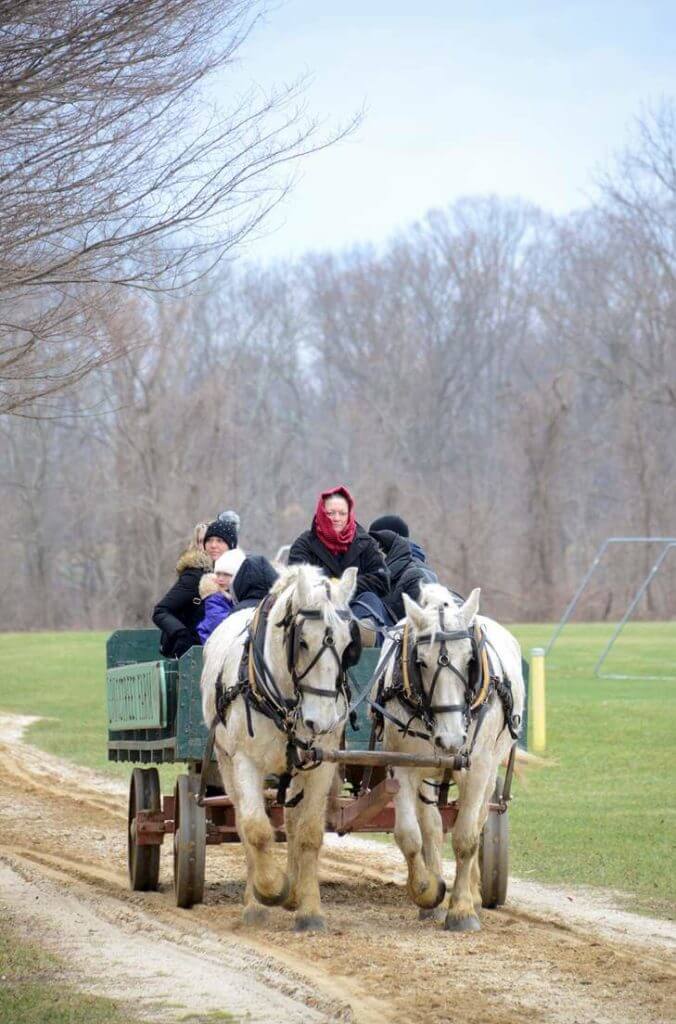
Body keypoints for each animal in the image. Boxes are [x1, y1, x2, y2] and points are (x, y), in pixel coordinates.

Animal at [200, 565, 358, 933]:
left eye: (348, 643)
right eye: (302, 641)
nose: (321, 721)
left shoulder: (321, 765)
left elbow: (309, 834)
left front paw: (308, 910)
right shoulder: (245, 762)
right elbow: (257, 830)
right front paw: (268, 893)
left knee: (291, 823)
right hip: (226, 763)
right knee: (243, 823)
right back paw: (258, 894)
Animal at [374, 585, 522, 929]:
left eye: (470, 660)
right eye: (421, 661)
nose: (451, 739)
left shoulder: (477, 768)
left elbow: (466, 837)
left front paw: (462, 910)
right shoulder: (402, 766)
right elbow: (410, 835)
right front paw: (427, 892)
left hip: (488, 769)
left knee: (479, 821)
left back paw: (475, 895)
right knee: (432, 826)